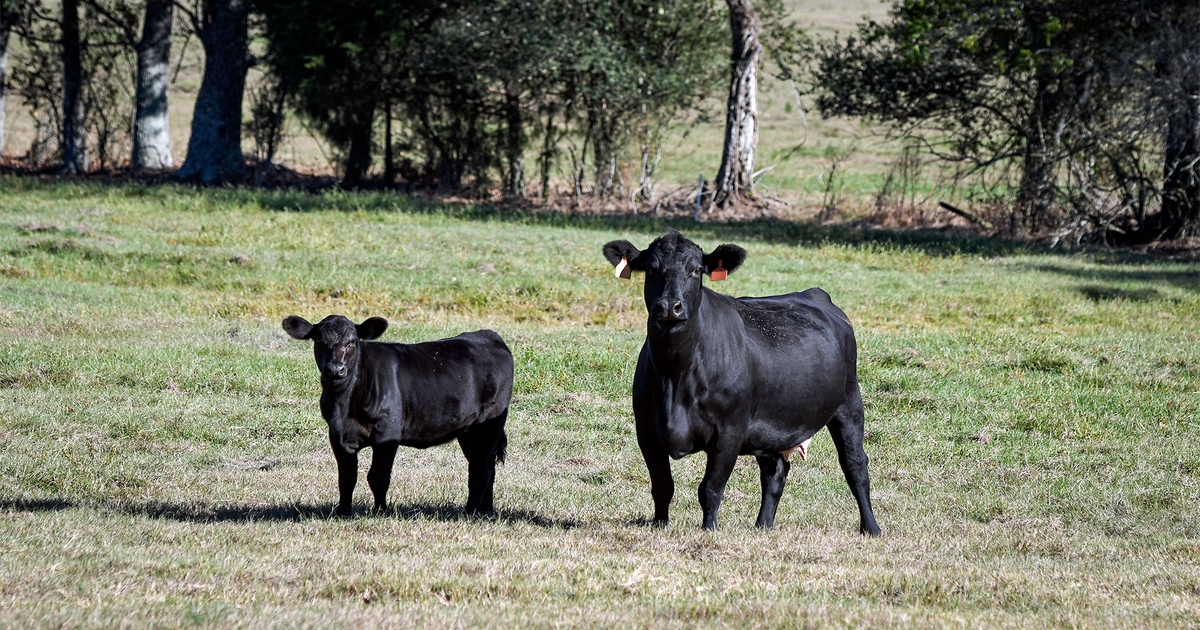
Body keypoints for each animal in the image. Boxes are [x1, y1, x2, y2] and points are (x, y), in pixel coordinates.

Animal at [282, 315, 513, 518]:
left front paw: (380, 512)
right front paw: (343, 513)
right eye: (319, 341)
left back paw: (470, 512)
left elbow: (378, 476)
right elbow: (347, 478)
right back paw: (486, 512)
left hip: (489, 425)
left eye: (352, 342)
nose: (336, 369)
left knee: (480, 468)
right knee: (487, 466)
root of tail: (488, 335)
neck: (344, 405)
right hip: (468, 431)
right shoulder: (337, 435)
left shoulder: (387, 433)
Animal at [603, 231, 880, 535]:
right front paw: (660, 525)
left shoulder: (730, 431)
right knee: (775, 474)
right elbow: (662, 486)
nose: (669, 307)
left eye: (696, 270)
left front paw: (709, 530)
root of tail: (816, 294)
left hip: (849, 404)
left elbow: (710, 488)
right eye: (651, 269)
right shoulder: (647, 430)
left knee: (855, 466)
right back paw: (763, 526)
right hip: (773, 426)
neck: (673, 375)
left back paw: (871, 528)